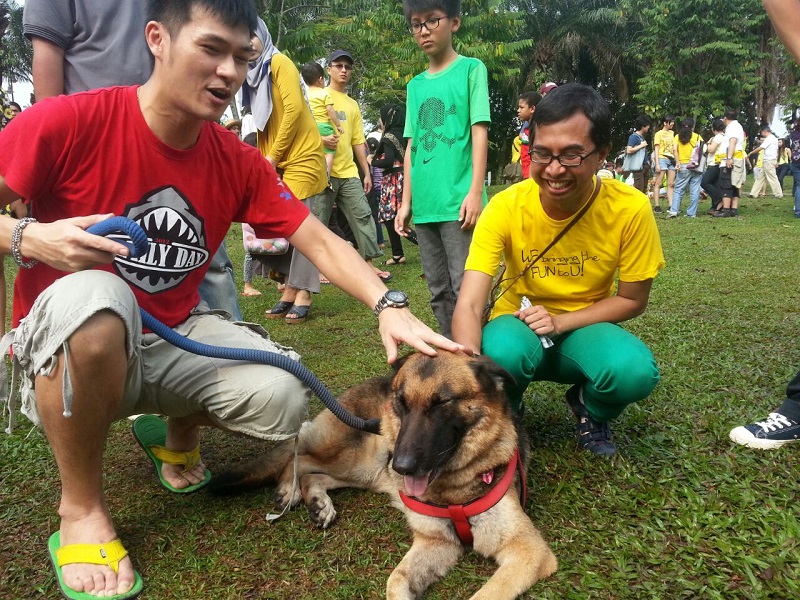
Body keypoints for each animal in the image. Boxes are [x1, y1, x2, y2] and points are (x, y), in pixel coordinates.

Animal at [211, 354, 556, 596]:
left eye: (443, 402)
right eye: (402, 403)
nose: (402, 466)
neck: (452, 488)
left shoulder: (526, 551)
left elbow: (479, 594)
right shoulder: (434, 540)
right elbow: (396, 579)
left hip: (369, 471)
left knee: (313, 472)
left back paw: (317, 502)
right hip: (361, 457)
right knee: (301, 456)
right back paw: (289, 490)